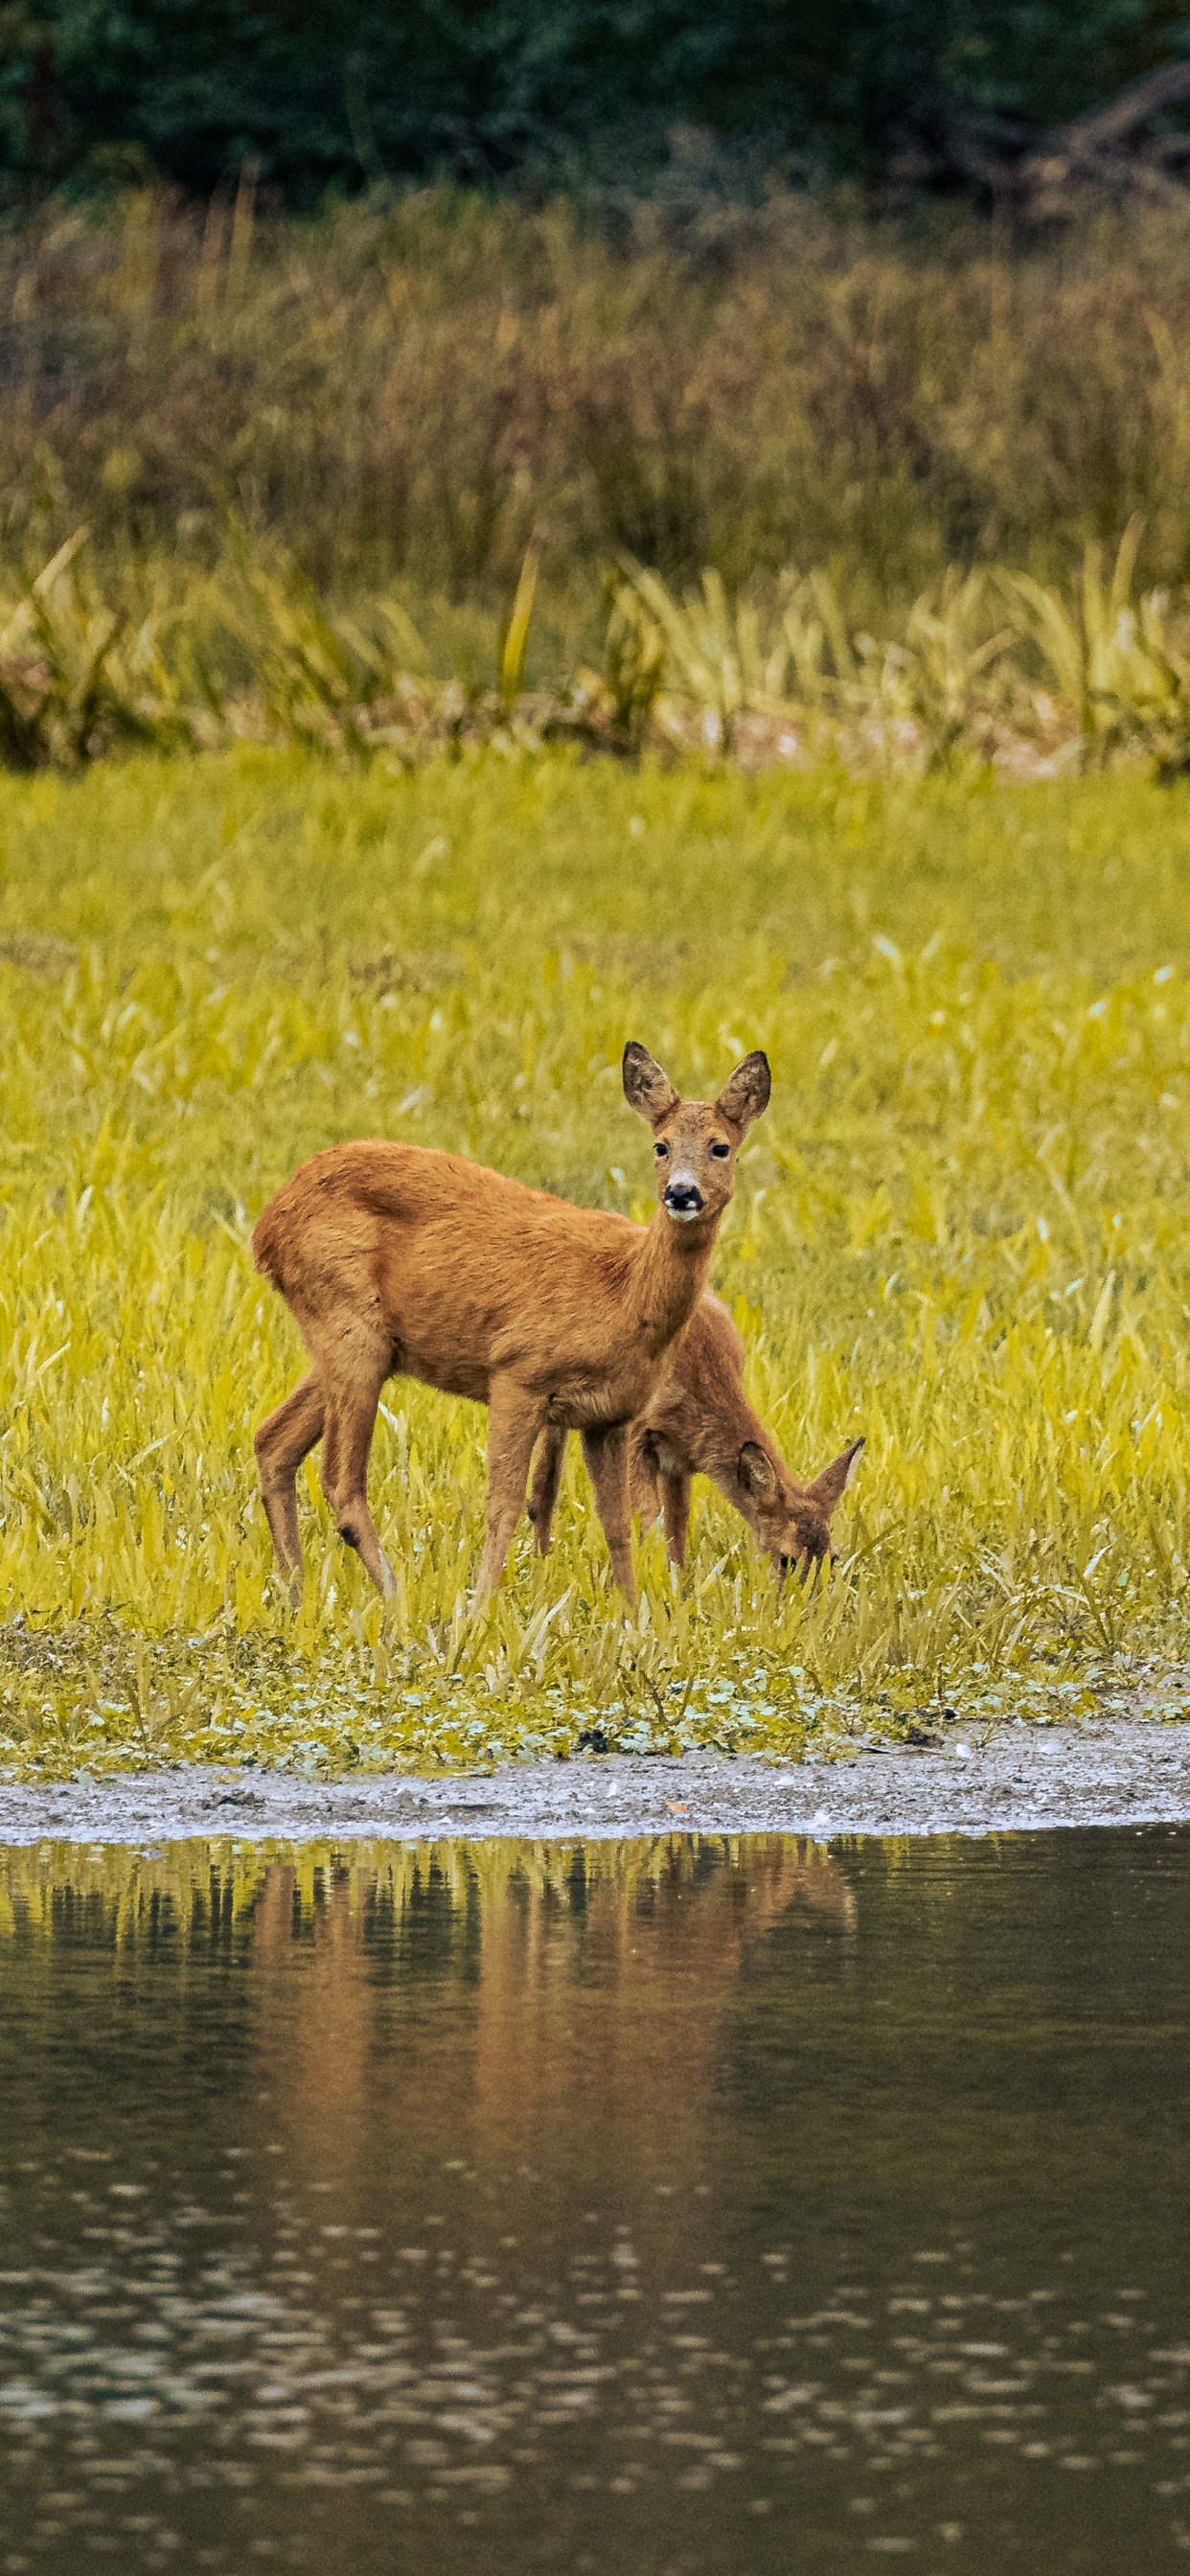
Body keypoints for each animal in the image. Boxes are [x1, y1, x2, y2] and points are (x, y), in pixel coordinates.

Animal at [251, 1042, 771, 1609]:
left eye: (721, 1147)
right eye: (661, 1145)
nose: (681, 1192)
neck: (622, 1292)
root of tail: (266, 1228)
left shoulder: (610, 1417)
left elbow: (617, 1525)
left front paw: (634, 1616)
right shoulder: (517, 1371)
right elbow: (502, 1505)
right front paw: (479, 1610)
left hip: (361, 1343)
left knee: (273, 1440)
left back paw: (296, 1595)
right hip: (347, 1324)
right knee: (341, 1483)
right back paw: (396, 1602)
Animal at [527, 1288, 863, 1578]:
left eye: (834, 1559)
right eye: (786, 1559)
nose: (808, 1608)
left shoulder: (679, 1459)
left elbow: (676, 1525)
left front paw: (677, 1584)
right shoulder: (635, 1435)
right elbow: (649, 1521)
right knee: (545, 1480)